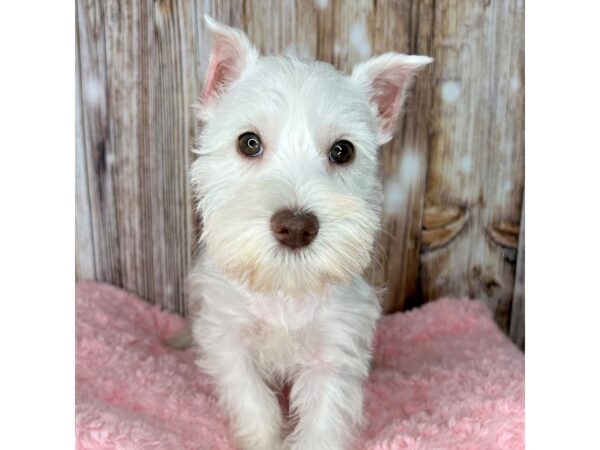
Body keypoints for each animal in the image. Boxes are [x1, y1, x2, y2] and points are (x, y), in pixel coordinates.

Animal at [188, 14, 432, 450]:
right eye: (249, 143)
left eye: (342, 151)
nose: (297, 226)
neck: (286, 287)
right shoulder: (228, 336)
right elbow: (253, 402)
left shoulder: (333, 349)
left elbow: (323, 419)